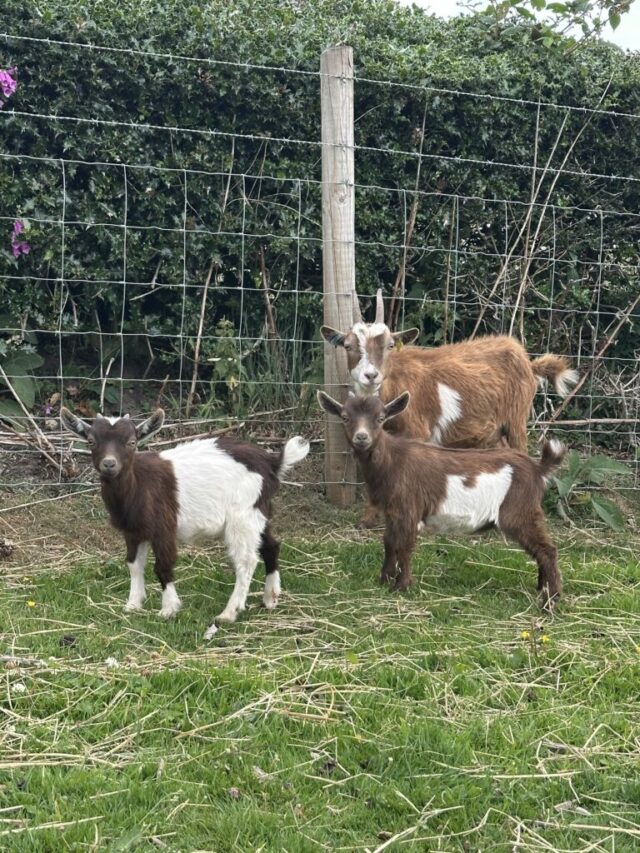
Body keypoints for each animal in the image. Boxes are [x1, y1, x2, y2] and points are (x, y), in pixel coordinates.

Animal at [61, 407, 309, 639]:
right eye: (91, 441)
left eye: (131, 442)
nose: (109, 464)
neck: (138, 485)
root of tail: (272, 463)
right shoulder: (133, 531)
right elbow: (133, 564)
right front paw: (133, 604)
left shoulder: (163, 527)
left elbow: (163, 566)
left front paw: (169, 609)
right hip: (258, 512)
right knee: (271, 545)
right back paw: (270, 598)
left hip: (243, 515)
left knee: (246, 560)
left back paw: (229, 613)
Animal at [318, 390, 565, 608]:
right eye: (345, 417)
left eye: (380, 419)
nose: (362, 437)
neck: (392, 461)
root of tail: (537, 468)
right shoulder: (392, 511)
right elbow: (389, 542)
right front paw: (383, 580)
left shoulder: (409, 509)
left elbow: (405, 546)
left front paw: (401, 586)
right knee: (540, 550)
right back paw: (541, 588)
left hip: (519, 510)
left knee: (547, 550)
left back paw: (551, 600)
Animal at [321, 289, 577, 525]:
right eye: (347, 346)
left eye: (390, 345)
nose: (371, 375)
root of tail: (528, 362)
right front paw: (368, 518)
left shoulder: (417, 431)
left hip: (517, 417)